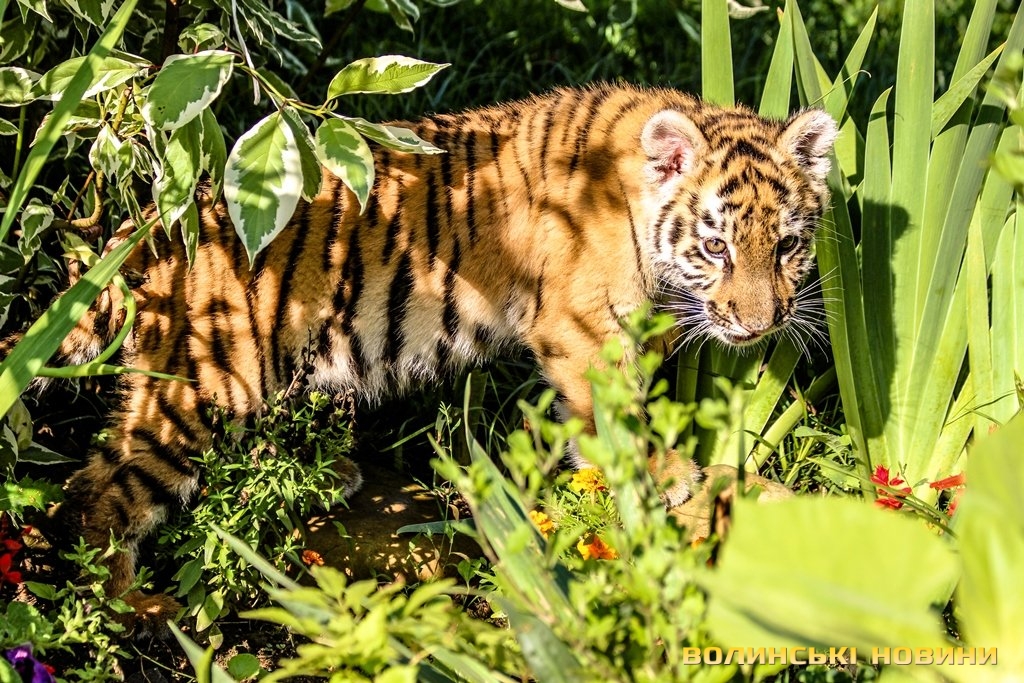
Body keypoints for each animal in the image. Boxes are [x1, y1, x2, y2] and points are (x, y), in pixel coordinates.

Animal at [27, 83, 836, 627]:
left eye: (787, 246)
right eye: (716, 246)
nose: (761, 324)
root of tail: (149, 229)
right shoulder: (581, 331)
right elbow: (620, 419)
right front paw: (666, 478)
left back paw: (330, 473)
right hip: (201, 386)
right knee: (98, 488)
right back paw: (133, 602)